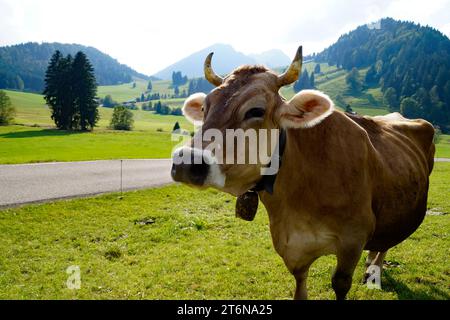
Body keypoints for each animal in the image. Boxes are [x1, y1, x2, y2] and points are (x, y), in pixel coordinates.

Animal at [171, 47, 434, 300]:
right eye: (205, 107)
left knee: (386, 242)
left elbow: (340, 284)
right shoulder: (291, 246)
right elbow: (300, 287)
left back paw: (374, 268)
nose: (186, 162)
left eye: (255, 110)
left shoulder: (353, 241)